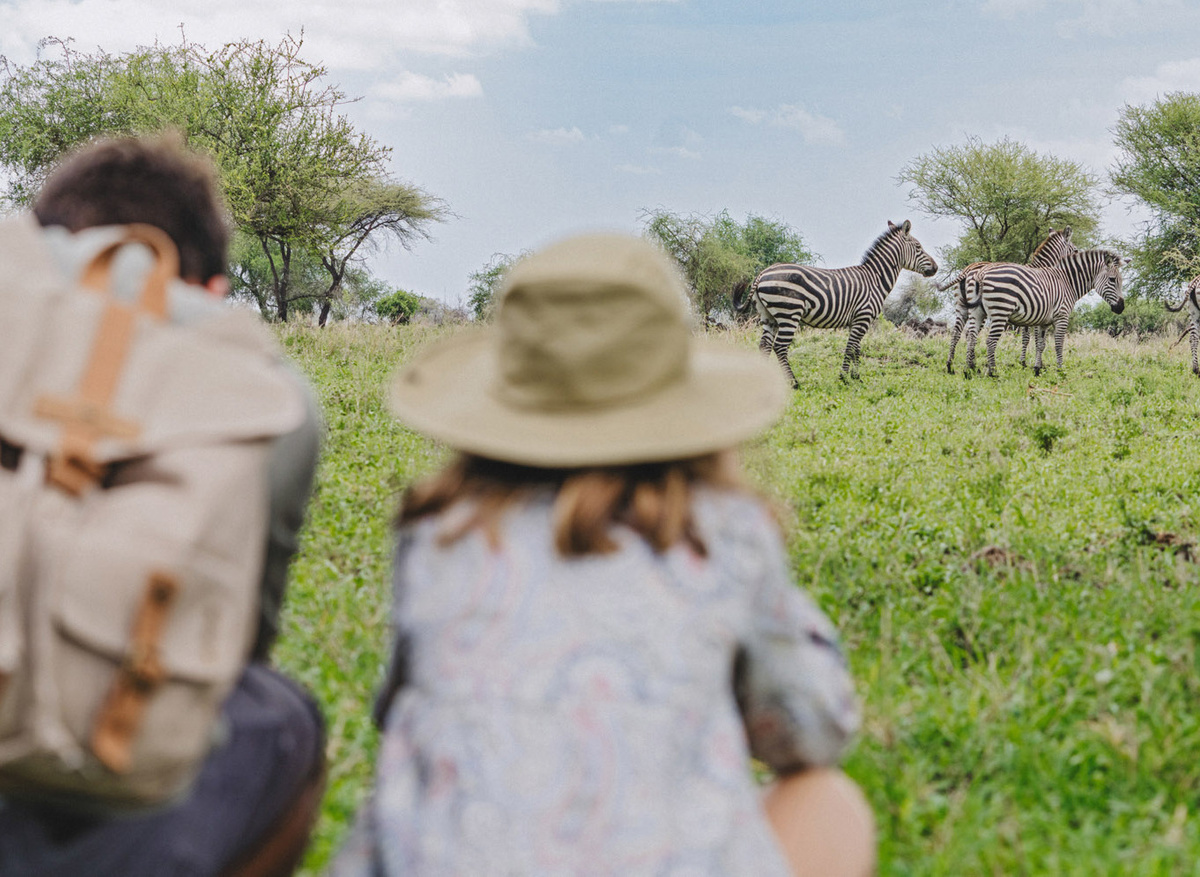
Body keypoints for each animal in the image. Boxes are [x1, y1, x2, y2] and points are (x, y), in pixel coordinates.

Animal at [732, 220, 938, 386]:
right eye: (918, 247)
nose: (936, 268)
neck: (875, 279)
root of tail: (762, 274)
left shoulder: (857, 320)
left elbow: (856, 349)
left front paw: (856, 378)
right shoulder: (863, 317)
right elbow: (850, 348)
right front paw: (844, 378)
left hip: (768, 315)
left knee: (764, 346)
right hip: (789, 312)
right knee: (779, 347)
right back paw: (794, 383)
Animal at [943, 227, 1079, 374]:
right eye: (1076, 251)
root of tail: (968, 269)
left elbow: (1029, 338)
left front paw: (1031, 363)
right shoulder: (1038, 311)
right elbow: (1032, 339)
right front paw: (1028, 363)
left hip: (961, 306)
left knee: (958, 333)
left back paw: (952, 365)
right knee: (971, 334)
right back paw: (974, 366)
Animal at [962, 249, 1127, 377]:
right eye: (1112, 280)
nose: (1121, 307)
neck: (1067, 282)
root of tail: (981, 274)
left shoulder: (1044, 322)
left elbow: (1041, 344)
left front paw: (1037, 369)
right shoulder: (1062, 317)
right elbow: (1058, 344)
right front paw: (1060, 370)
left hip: (977, 312)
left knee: (971, 338)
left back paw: (969, 371)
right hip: (1000, 312)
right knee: (990, 341)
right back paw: (993, 373)